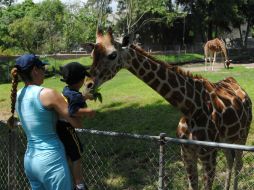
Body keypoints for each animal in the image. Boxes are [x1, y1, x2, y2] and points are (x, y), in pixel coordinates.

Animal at [84, 28, 252, 190]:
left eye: (112, 55)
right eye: (92, 54)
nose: (87, 85)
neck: (190, 108)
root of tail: (239, 85)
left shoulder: (208, 154)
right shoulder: (186, 153)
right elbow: (192, 186)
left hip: (242, 135)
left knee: (238, 163)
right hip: (226, 139)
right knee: (230, 160)